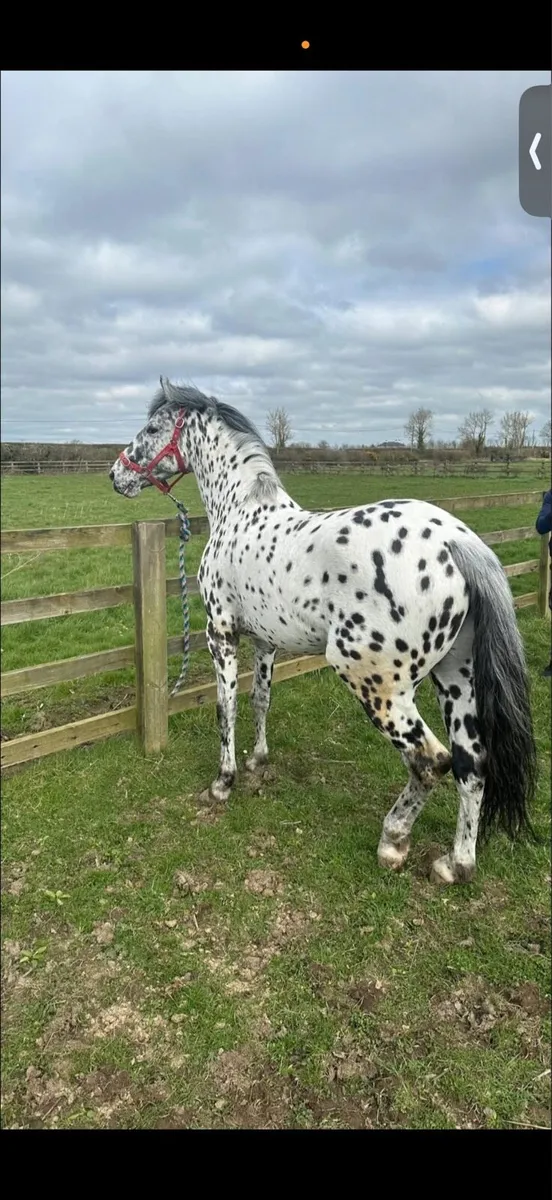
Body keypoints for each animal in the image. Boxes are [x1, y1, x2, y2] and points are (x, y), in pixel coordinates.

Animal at [110, 378, 537, 885]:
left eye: (153, 428)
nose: (117, 475)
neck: (240, 511)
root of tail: (458, 542)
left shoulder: (221, 633)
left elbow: (224, 707)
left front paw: (223, 783)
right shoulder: (265, 640)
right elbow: (260, 699)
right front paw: (258, 761)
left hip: (377, 684)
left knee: (430, 761)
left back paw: (393, 842)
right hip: (457, 677)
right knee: (472, 763)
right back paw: (455, 865)